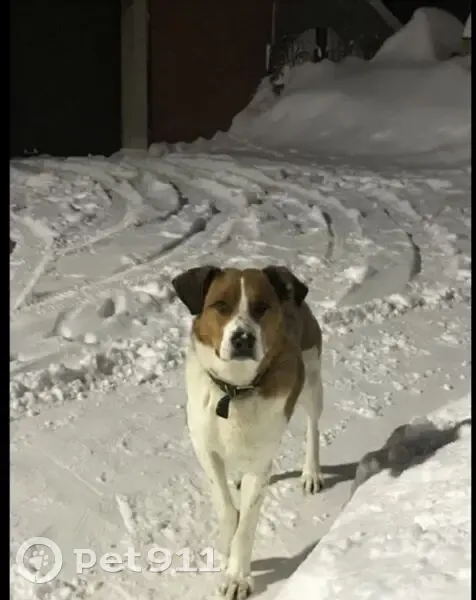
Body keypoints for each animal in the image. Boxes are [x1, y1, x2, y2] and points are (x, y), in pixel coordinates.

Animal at [172, 265, 324, 599]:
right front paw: (227, 545)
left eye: (262, 307)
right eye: (220, 306)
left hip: (312, 378)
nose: (243, 338)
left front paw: (237, 576)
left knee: (313, 426)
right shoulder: (205, 447)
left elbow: (248, 524)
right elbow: (227, 507)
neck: (236, 389)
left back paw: (312, 472)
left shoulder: (261, 459)